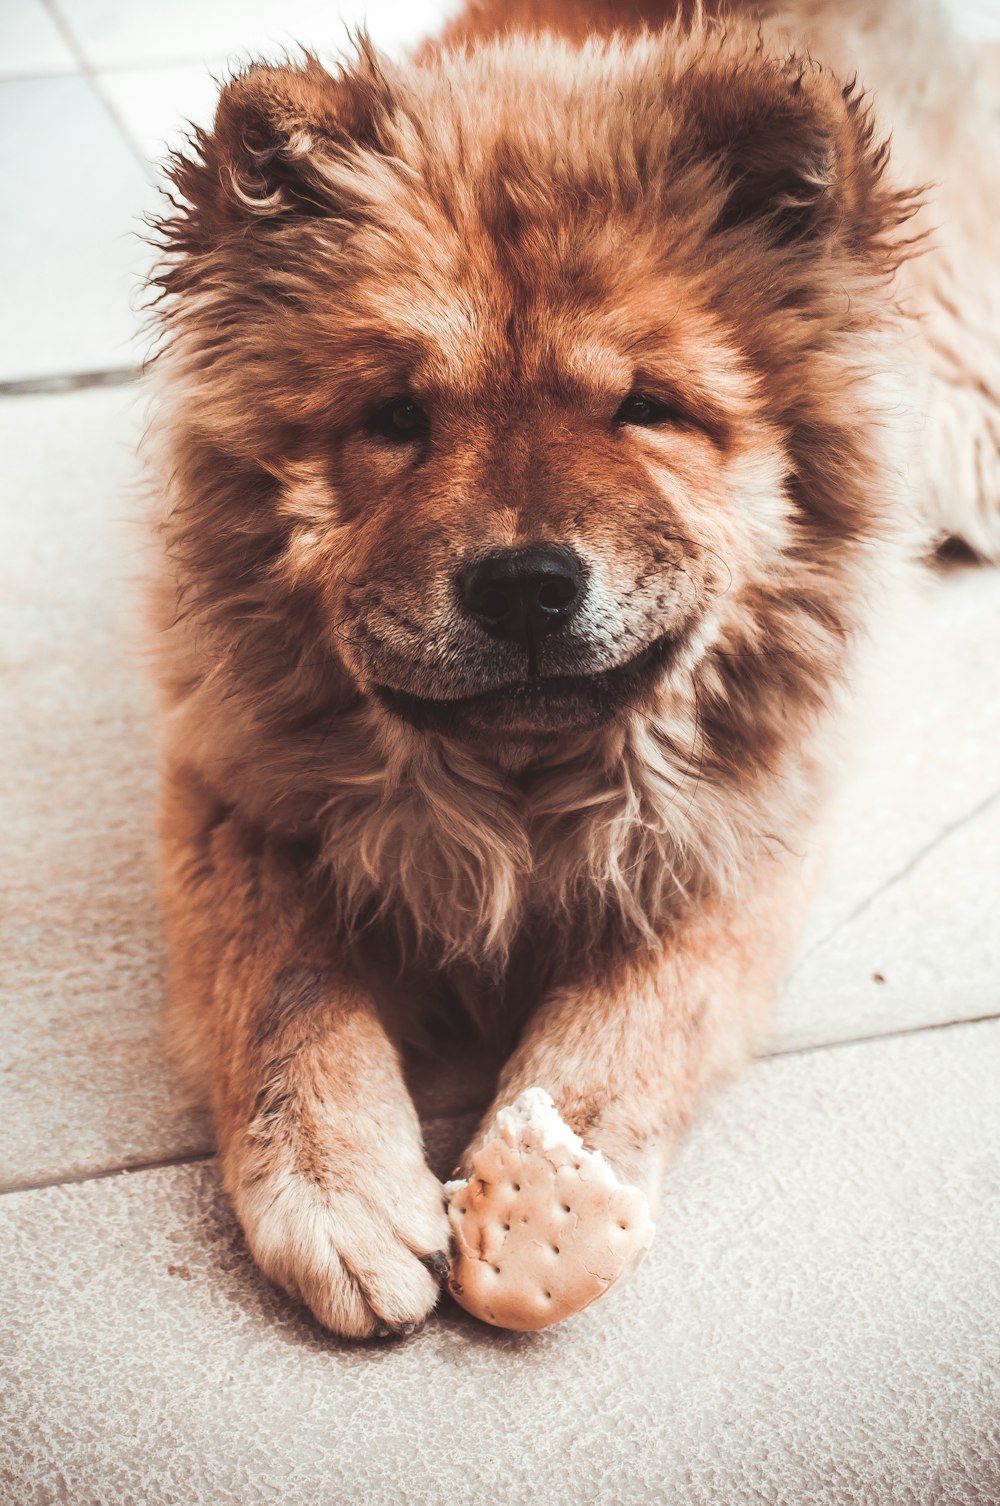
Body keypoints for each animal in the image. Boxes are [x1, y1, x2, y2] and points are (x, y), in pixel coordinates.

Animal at [148, 0, 1000, 1343]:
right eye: (396, 420)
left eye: (645, 408)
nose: (523, 586)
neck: (515, 796)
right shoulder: (238, 794)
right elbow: (282, 987)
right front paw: (341, 1194)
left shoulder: (747, 827)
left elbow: (643, 1005)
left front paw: (541, 1188)